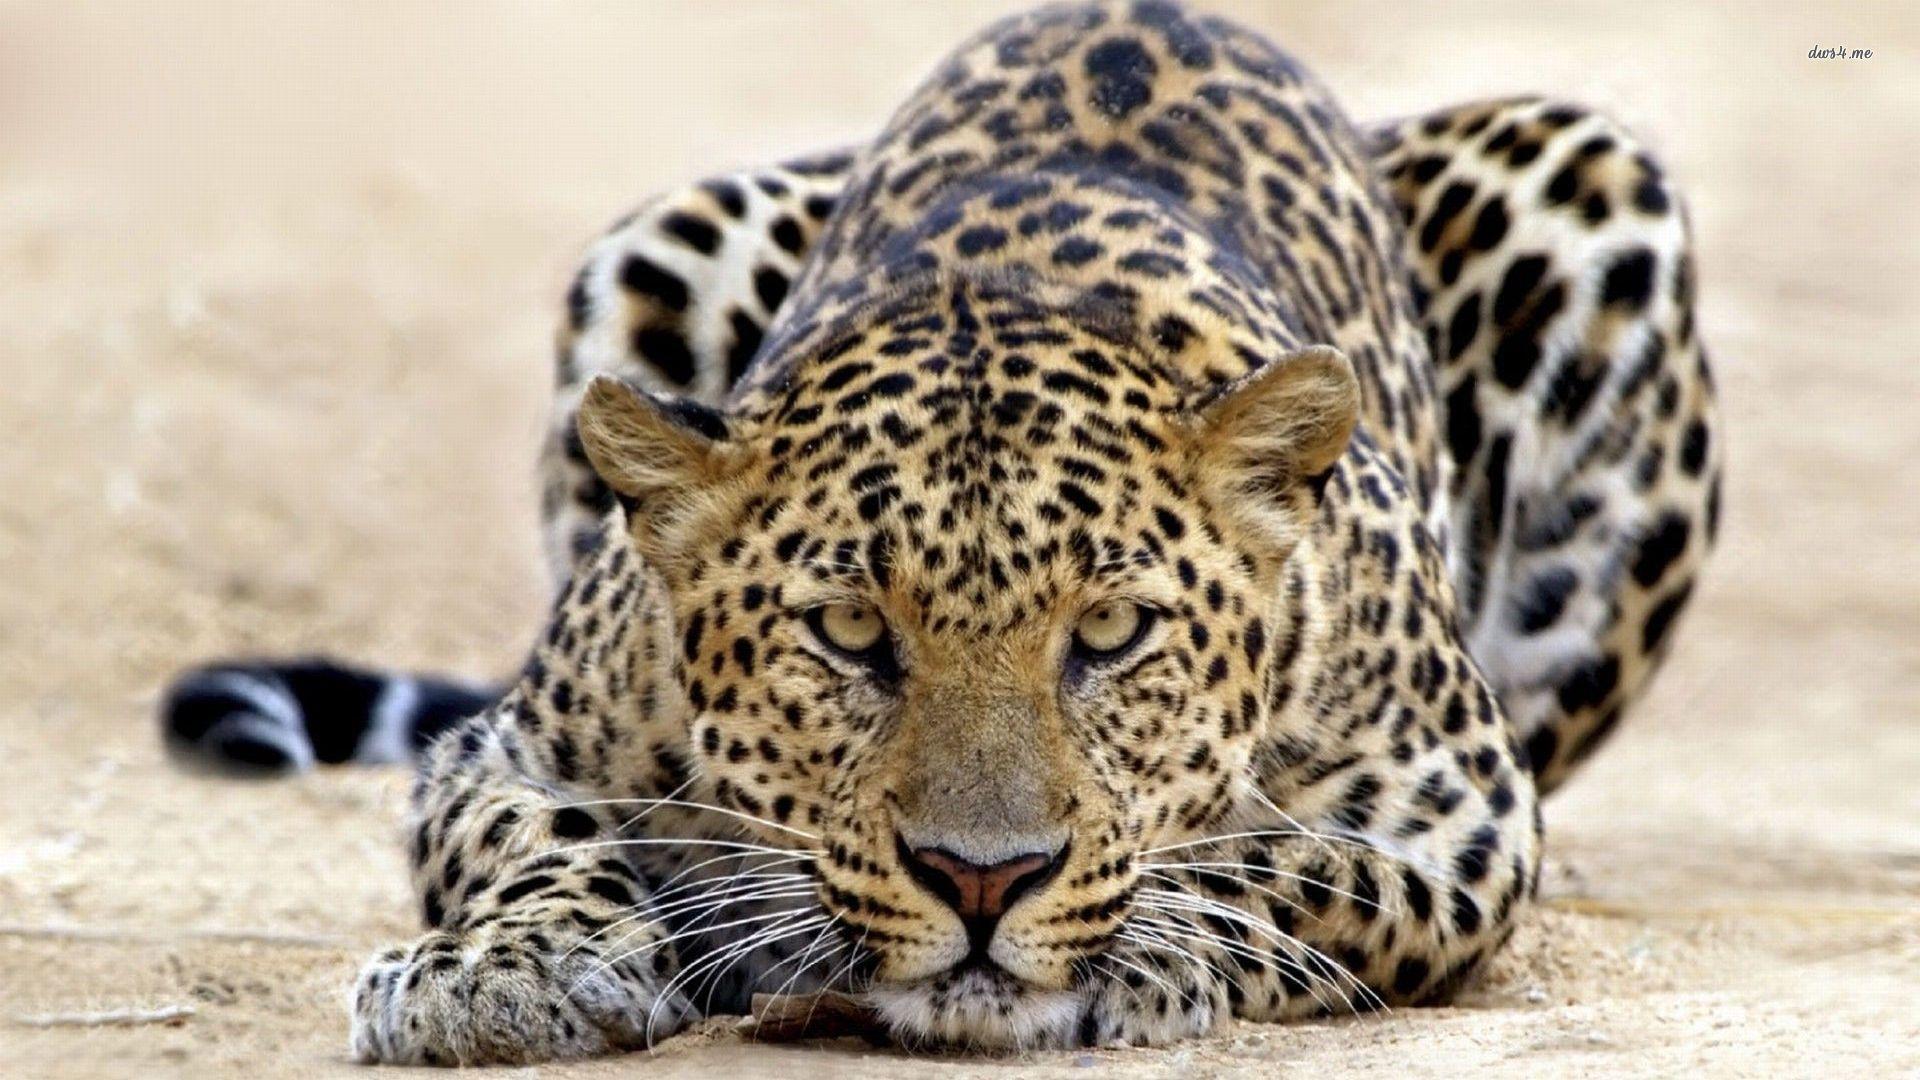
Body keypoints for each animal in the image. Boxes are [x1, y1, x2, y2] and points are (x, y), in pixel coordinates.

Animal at [161, 0, 1720, 1064]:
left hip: (1594, 184)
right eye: (852, 634)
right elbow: (532, 837)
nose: (982, 880)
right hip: (668, 231)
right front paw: (509, 970)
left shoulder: (1461, 812)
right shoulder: (509, 747)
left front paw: (1138, 947)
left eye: (1112, 633)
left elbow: (1284, 868)